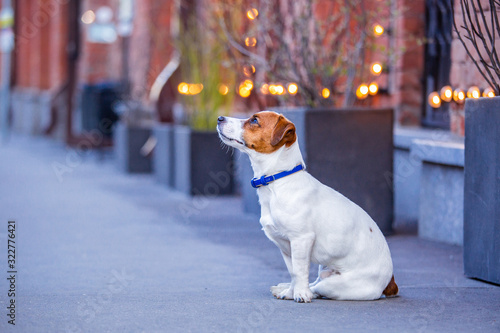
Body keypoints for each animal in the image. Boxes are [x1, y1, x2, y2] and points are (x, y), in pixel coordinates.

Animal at [217, 111, 396, 300]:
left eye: (254, 120)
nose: (220, 118)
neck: (277, 182)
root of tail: (390, 283)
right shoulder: (287, 247)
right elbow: (293, 272)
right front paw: (290, 292)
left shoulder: (301, 239)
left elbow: (299, 271)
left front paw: (301, 294)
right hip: (324, 269)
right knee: (314, 282)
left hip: (335, 285)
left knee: (317, 289)